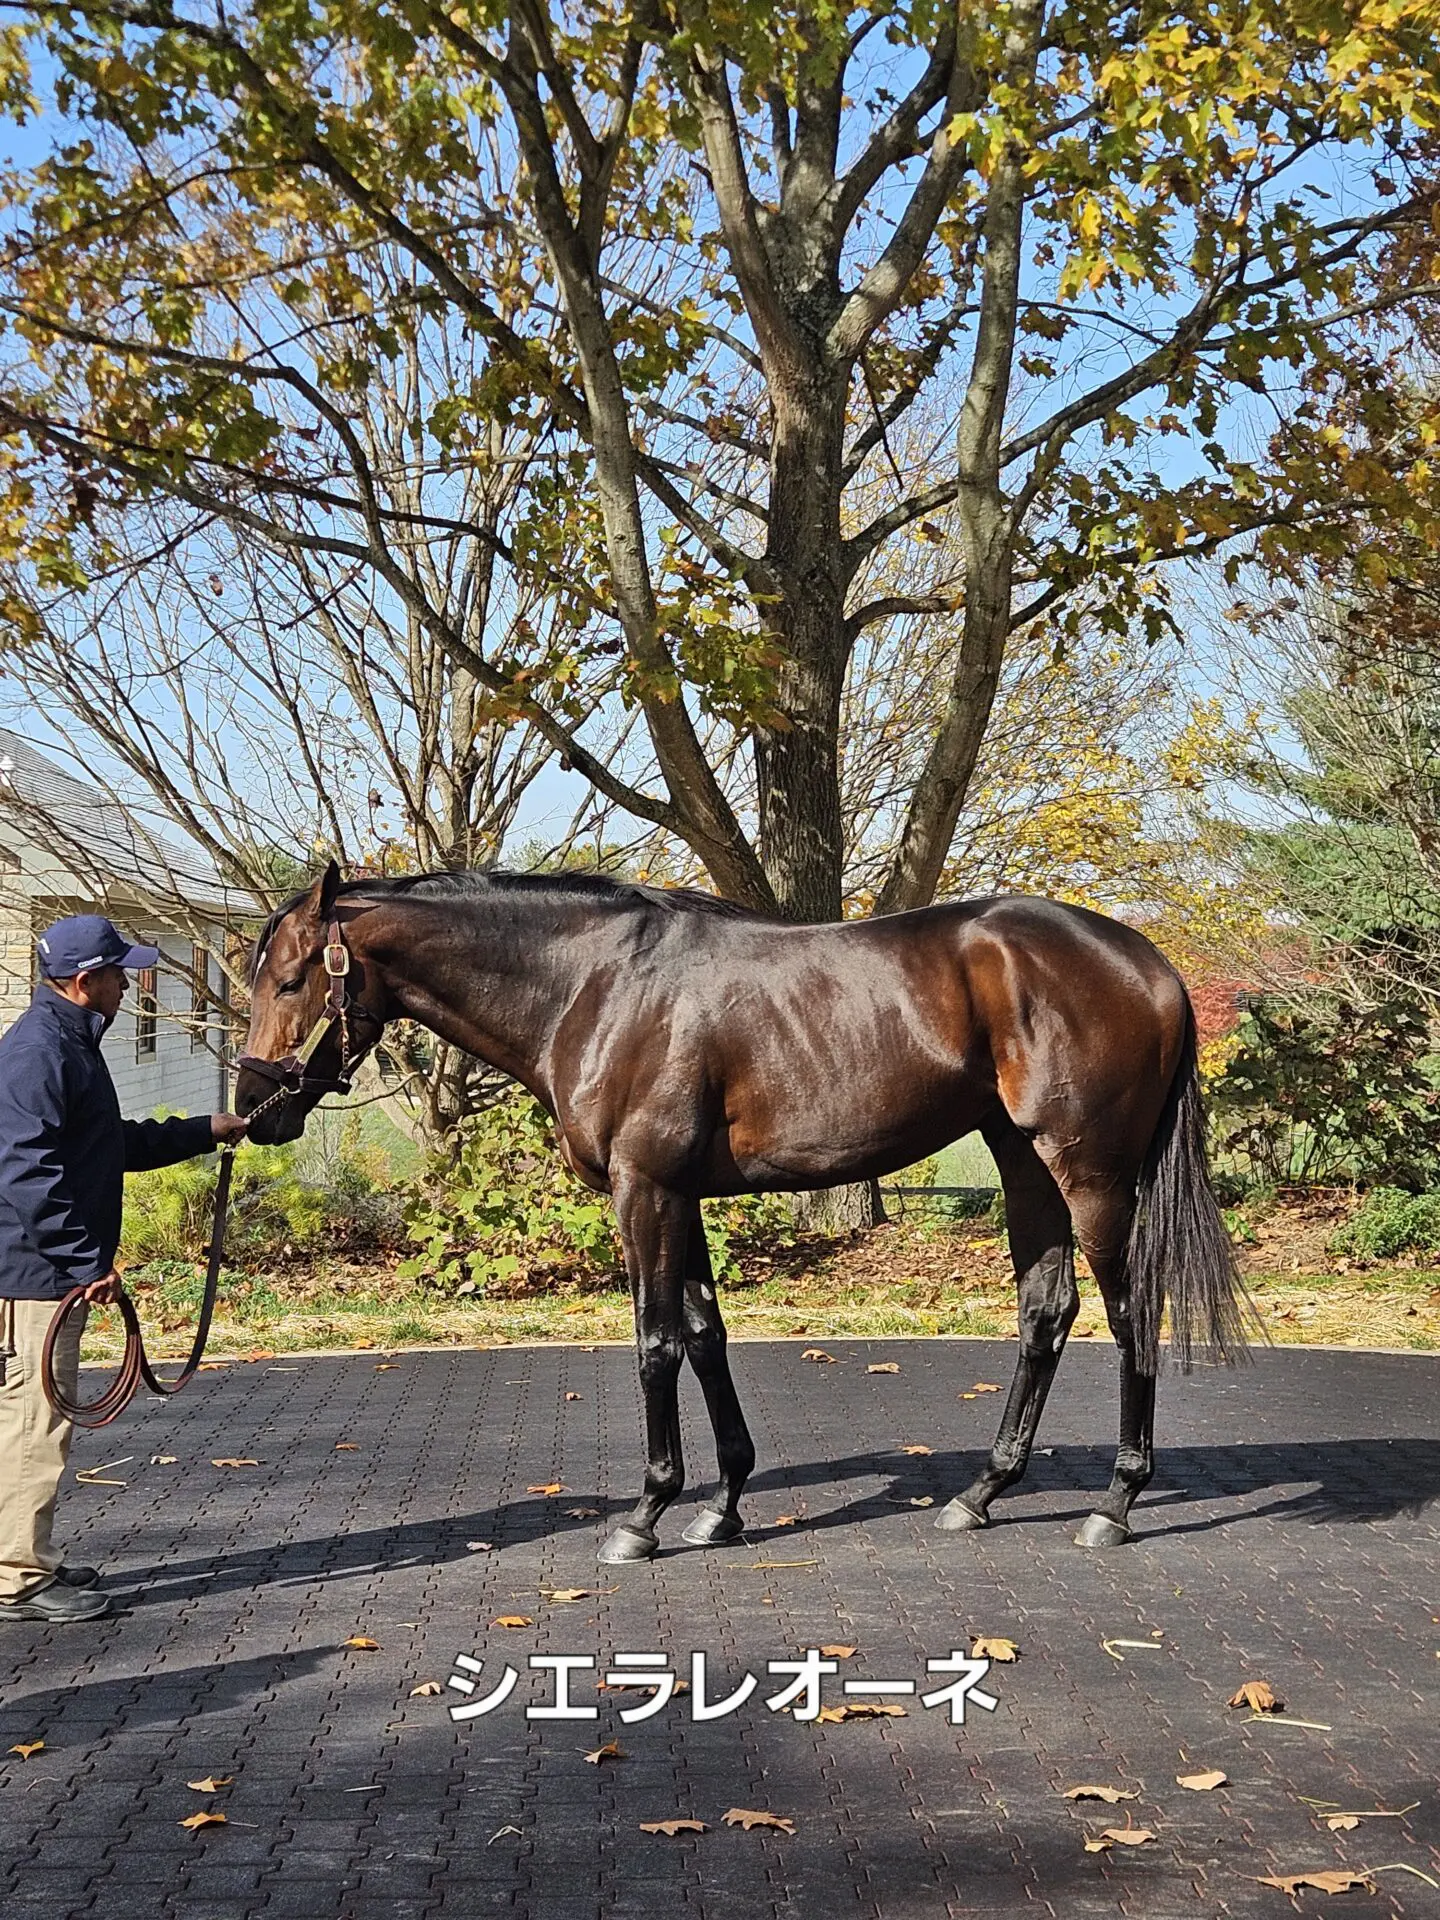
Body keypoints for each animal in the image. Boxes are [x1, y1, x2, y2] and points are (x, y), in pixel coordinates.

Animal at [233, 860, 1251, 1564]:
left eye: (290, 981)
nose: (254, 1107)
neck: (592, 988)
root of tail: (1152, 964)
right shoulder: (680, 1196)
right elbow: (704, 1336)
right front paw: (720, 1507)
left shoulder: (644, 1189)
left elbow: (655, 1344)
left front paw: (645, 1514)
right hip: (1023, 1163)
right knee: (1047, 1311)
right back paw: (981, 1492)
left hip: (1090, 1175)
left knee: (1133, 1313)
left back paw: (1114, 1504)